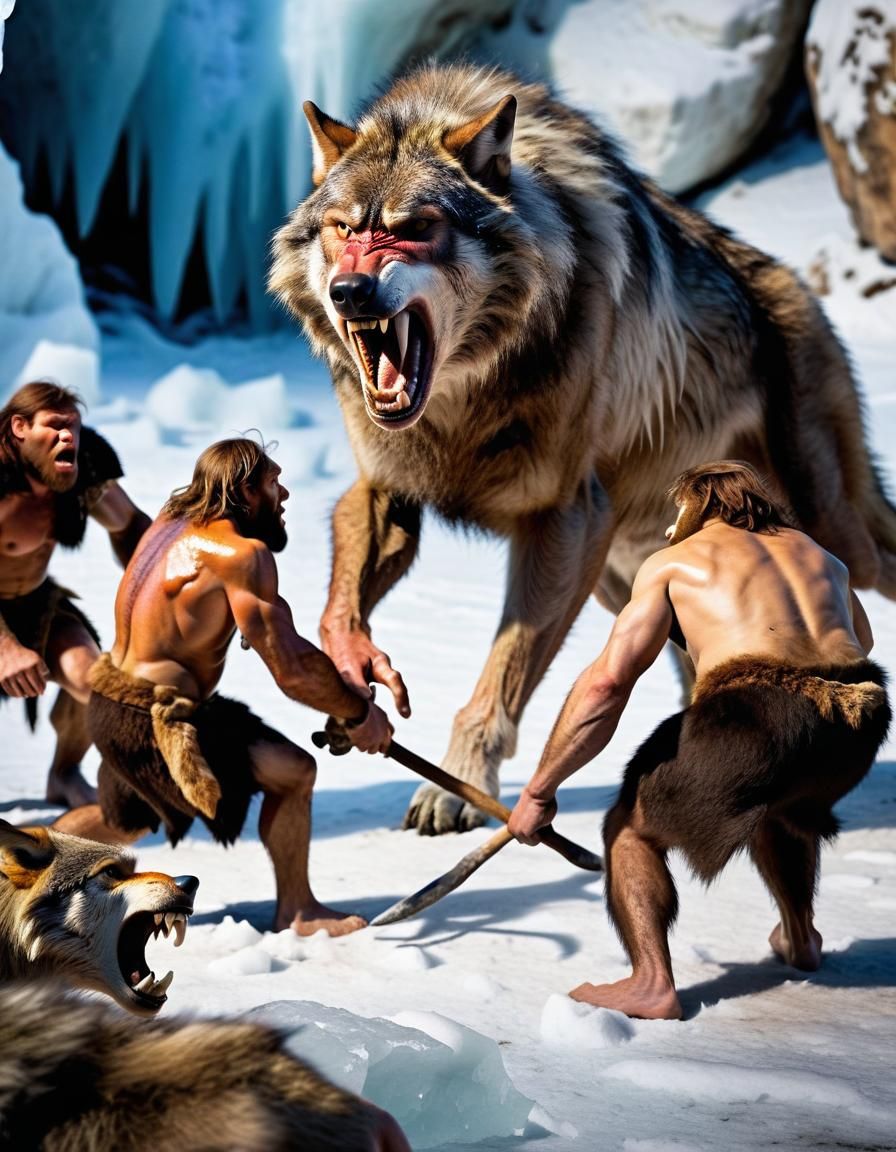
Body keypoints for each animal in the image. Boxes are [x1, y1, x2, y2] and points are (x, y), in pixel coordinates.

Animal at [270, 62, 896, 835]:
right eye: (344, 229)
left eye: (415, 230)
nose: (351, 290)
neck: (465, 398)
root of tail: (798, 288)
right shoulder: (388, 490)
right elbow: (343, 606)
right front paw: (353, 670)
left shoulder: (566, 518)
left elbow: (499, 678)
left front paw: (458, 786)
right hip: (632, 579)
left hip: (832, 530)